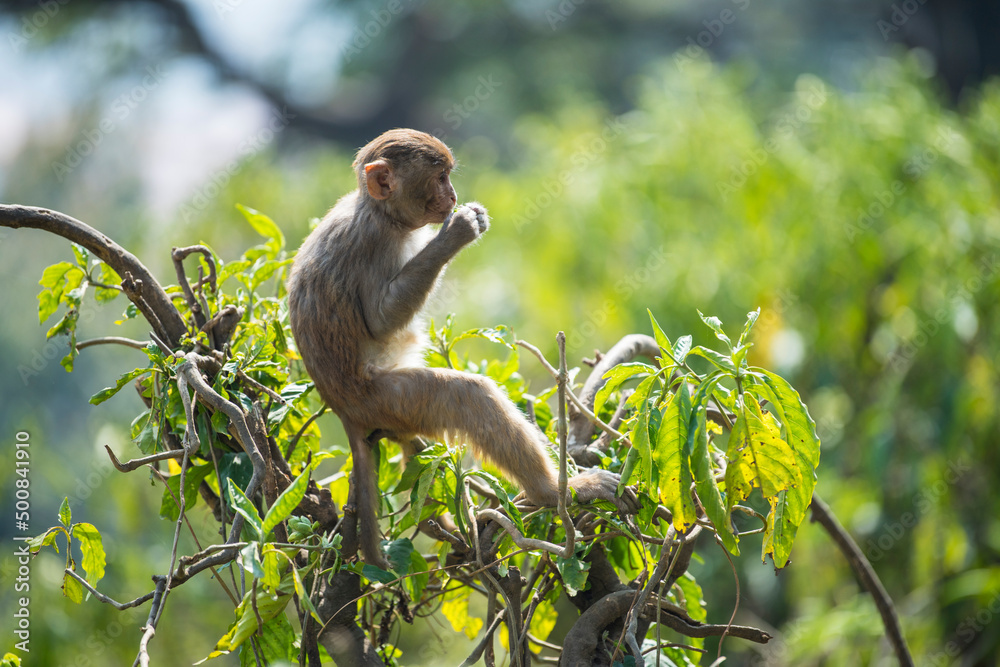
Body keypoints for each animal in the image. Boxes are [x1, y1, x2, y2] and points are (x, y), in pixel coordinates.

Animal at [287, 129, 636, 569]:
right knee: (468, 396)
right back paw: (553, 492)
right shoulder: (373, 241)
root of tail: (344, 410)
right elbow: (379, 320)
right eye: (439, 177)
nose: (452, 195)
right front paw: (457, 231)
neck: (381, 213)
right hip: (386, 399)